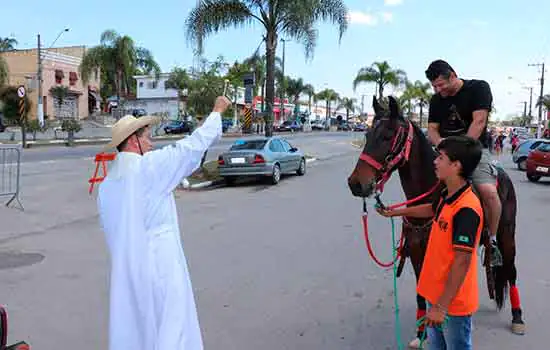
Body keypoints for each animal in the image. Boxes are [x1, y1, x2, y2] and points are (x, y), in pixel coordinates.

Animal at [350, 95, 528, 348]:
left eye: (387, 136)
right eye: (366, 135)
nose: (356, 184)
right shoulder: (417, 252)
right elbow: (422, 291)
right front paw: (421, 330)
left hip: (506, 235)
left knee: (511, 271)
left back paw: (517, 317)